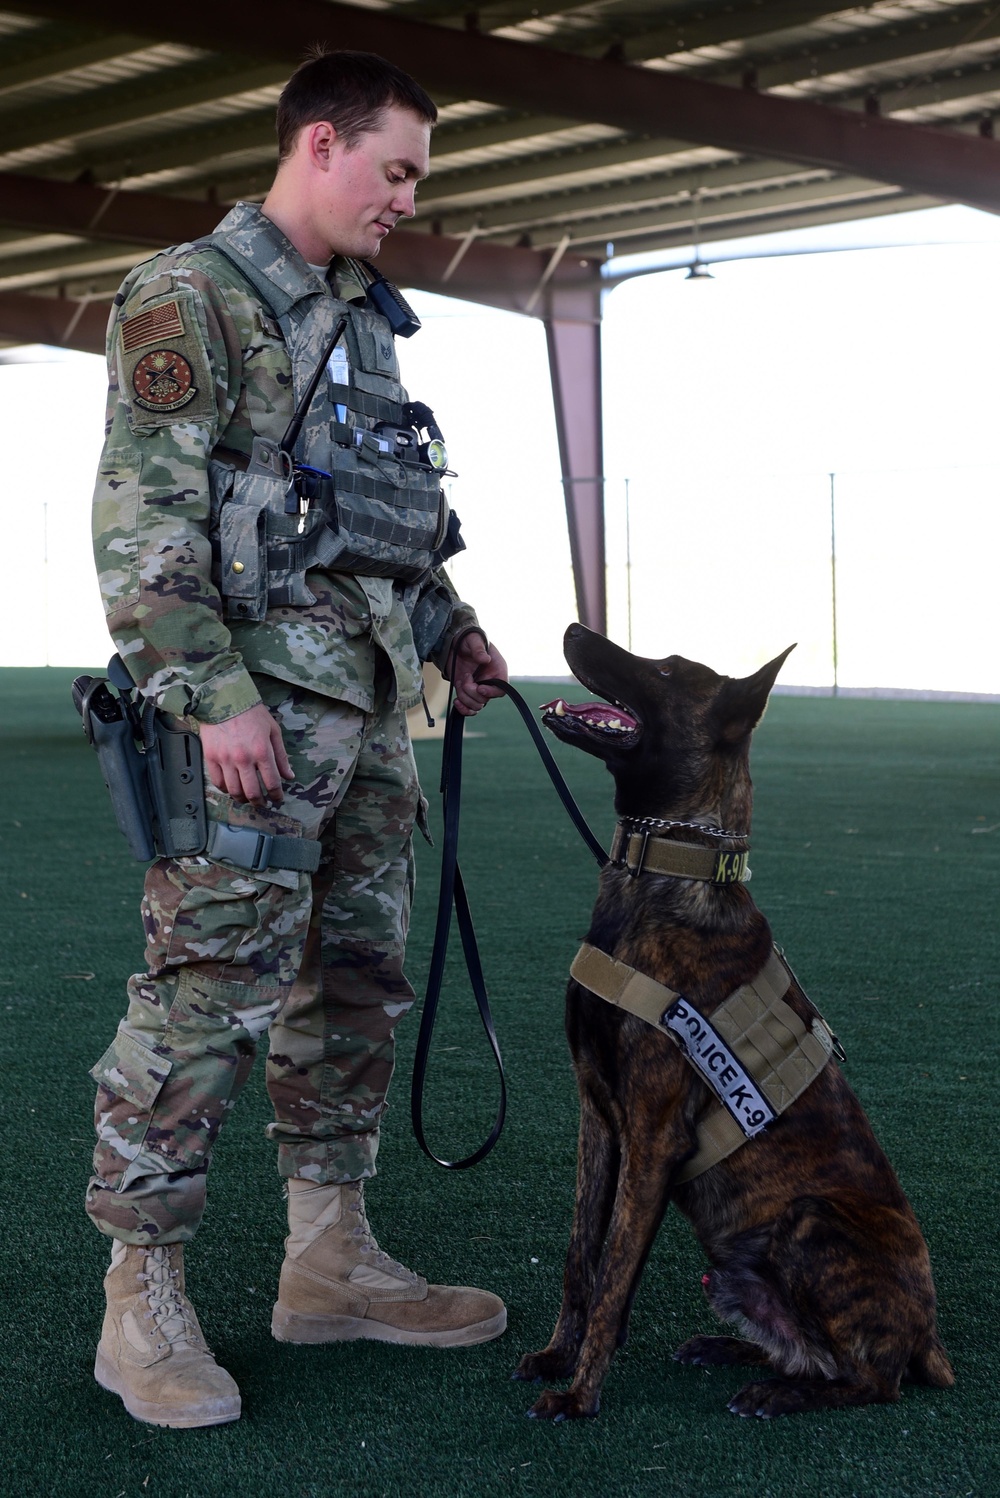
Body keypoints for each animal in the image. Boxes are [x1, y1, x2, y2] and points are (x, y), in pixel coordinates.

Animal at [514, 626, 952, 1420]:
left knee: (874, 1379)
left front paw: (581, 1394)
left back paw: (778, 1393)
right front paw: (561, 1355)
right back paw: (735, 1352)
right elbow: (580, 1258)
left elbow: (614, 1268)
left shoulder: (652, 1134)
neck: (661, 876)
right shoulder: (597, 1117)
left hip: (809, 1219)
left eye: (663, 671)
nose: (573, 630)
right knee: (809, 1350)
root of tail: (930, 1335)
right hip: (735, 1270)